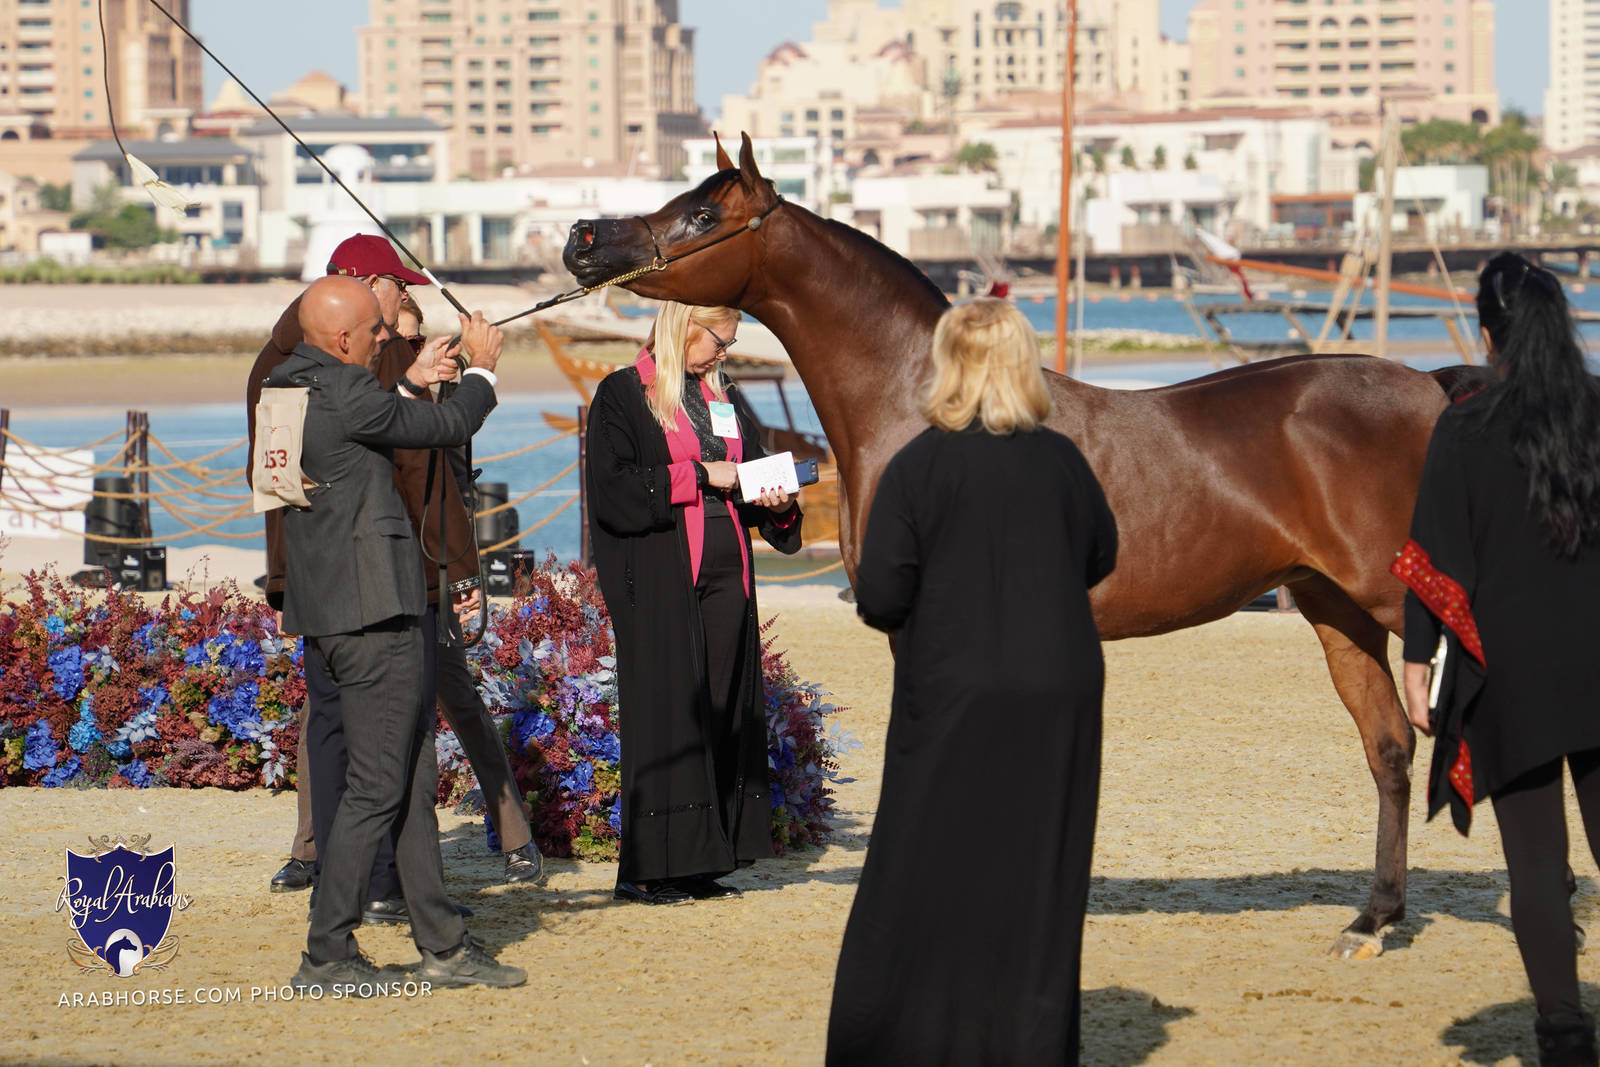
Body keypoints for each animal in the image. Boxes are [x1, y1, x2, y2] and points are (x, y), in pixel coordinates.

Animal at [563, 132, 1464, 959]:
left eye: (703, 214)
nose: (583, 237)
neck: (923, 407)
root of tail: (1433, 387)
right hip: (1335, 607)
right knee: (1389, 746)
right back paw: (1372, 921)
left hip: (1397, 596)